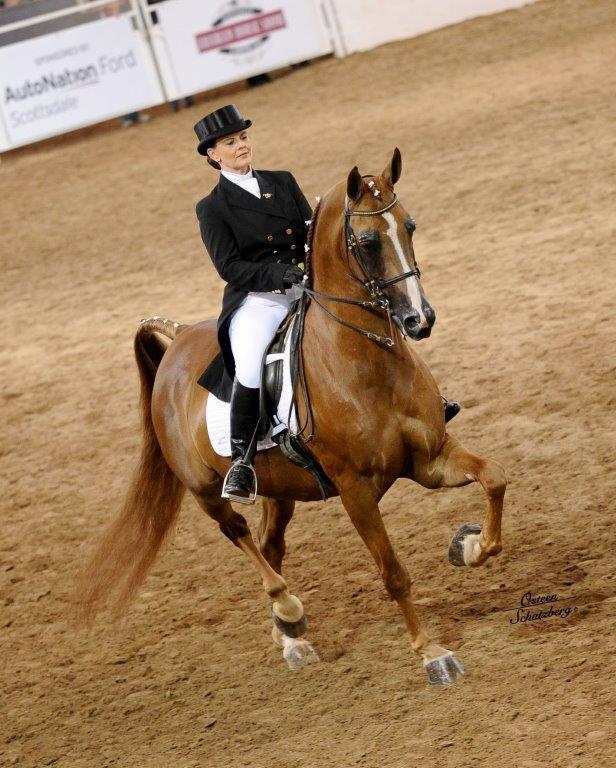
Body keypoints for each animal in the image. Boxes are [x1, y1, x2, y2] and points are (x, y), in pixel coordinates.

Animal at [76, 149, 506, 685]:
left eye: (410, 226)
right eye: (367, 243)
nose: (419, 320)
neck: (365, 361)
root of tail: (176, 339)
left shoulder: (430, 459)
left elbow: (494, 478)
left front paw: (470, 547)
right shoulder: (356, 490)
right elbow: (392, 573)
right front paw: (432, 653)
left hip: (277, 490)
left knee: (270, 543)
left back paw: (290, 639)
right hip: (205, 491)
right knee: (241, 536)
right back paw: (289, 610)